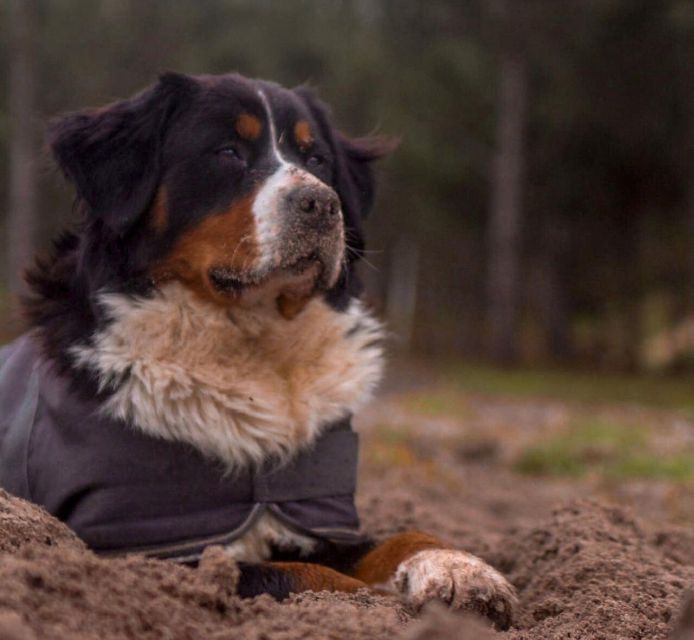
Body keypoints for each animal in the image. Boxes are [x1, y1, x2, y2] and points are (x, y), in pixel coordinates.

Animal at [0, 72, 520, 628]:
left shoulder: (311, 520)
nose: (322, 204)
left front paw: (463, 571)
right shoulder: (141, 550)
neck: (253, 345)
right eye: (228, 151)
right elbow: (303, 575)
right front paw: (381, 606)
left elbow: (401, 536)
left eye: (317, 160)